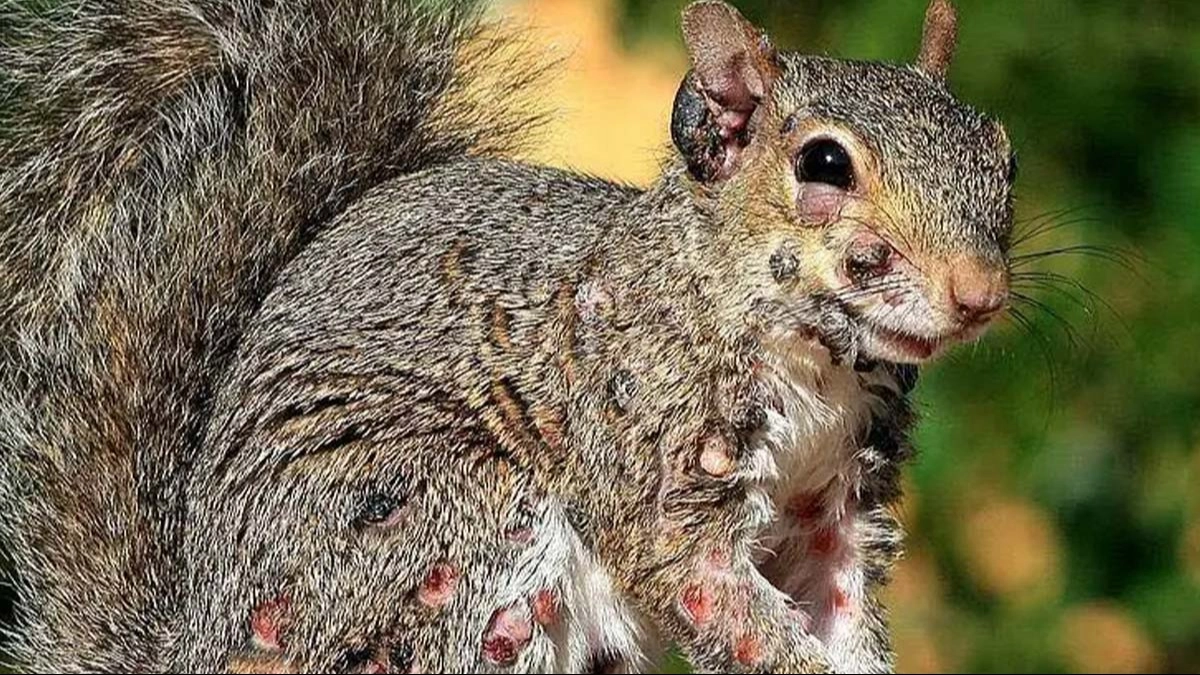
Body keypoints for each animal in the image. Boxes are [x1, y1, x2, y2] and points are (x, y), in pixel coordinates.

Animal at [0, 0, 1016, 672]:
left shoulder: (839, 502)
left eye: (1000, 156)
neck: (816, 368)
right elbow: (708, 587)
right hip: (446, 530)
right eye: (824, 163)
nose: (980, 292)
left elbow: (839, 606)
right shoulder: (650, 453)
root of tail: (200, 641)